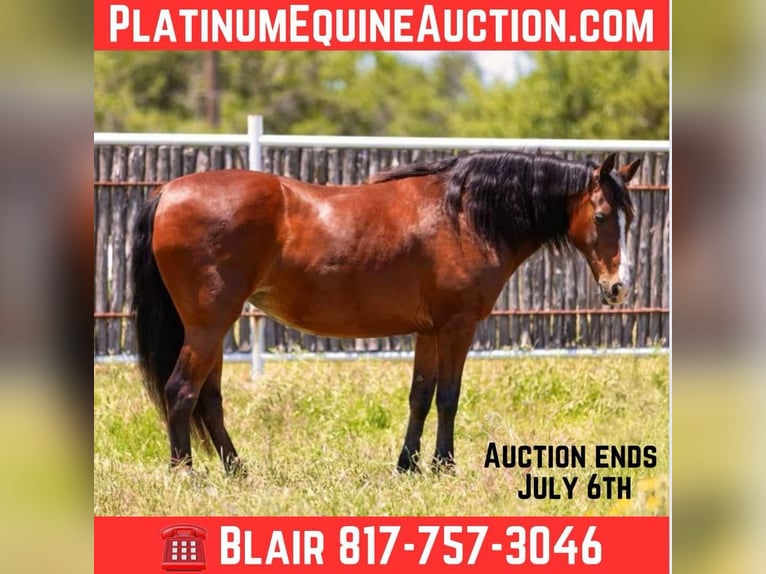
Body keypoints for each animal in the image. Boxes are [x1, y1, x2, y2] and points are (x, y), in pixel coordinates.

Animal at [131, 150, 640, 474]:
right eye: (601, 216)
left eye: (630, 218)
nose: (619, 287)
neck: (463, 216)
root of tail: (168, 191)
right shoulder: (457, 328)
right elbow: (449, 397)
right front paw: (444, 466)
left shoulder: (429, 331)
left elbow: (421, 395)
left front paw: (408, 465)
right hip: (207, 326)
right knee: (181, 392)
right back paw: (185, 474)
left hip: (213, 330)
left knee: (210, 400)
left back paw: (237, 470)